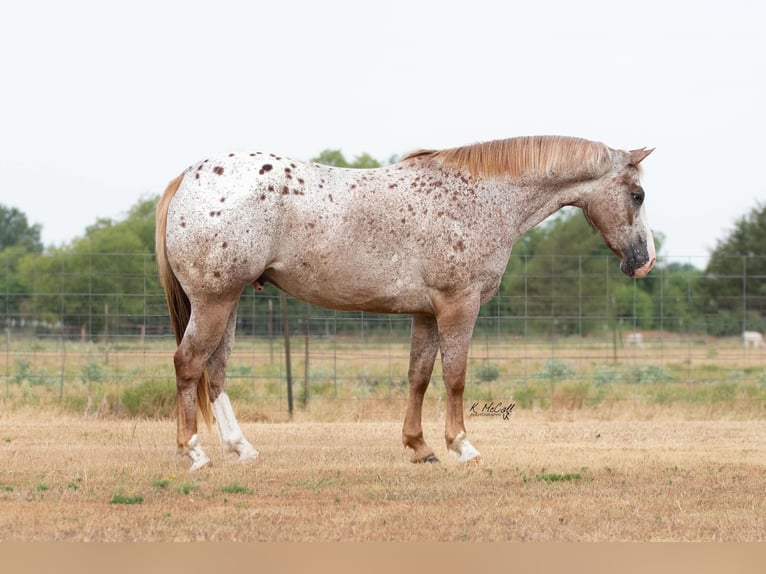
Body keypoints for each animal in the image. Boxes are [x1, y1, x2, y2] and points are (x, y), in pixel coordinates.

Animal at [154, 137, 656, 470]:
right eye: (638, 195)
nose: (643, 261)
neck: (481, 197)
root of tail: (188, 177)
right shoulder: (458, 306)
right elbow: (455, 377)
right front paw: (462, 445)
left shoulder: (425, 313)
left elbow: (418, 376)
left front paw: (420, 446)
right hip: (215, 302)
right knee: (188, 364)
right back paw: (193, 453)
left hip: (228, 303)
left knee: (215, 371)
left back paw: (241, 449)